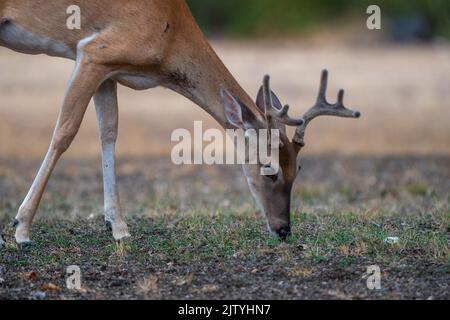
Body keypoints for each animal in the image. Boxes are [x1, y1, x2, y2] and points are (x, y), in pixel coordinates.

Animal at [0, 0, 358, 248]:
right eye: (268, 169)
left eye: (298, 170)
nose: (283, 229)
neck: (168, 29)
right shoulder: (93, 52)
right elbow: (65, 132)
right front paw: (22, 229)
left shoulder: (109, 67)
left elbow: (109, 133)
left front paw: (118, 227)